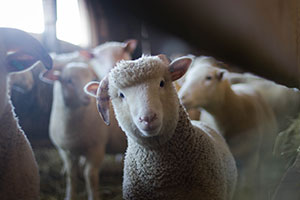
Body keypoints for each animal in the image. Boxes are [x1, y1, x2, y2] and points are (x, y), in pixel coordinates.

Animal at [40, 61, 126, 199]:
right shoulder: (65, 151)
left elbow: (90, 176)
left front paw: (93, 197)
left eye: (91, 78)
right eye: (69, 81)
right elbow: (71, 175)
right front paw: (69, 196)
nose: (87, 97)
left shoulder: (97, 149)